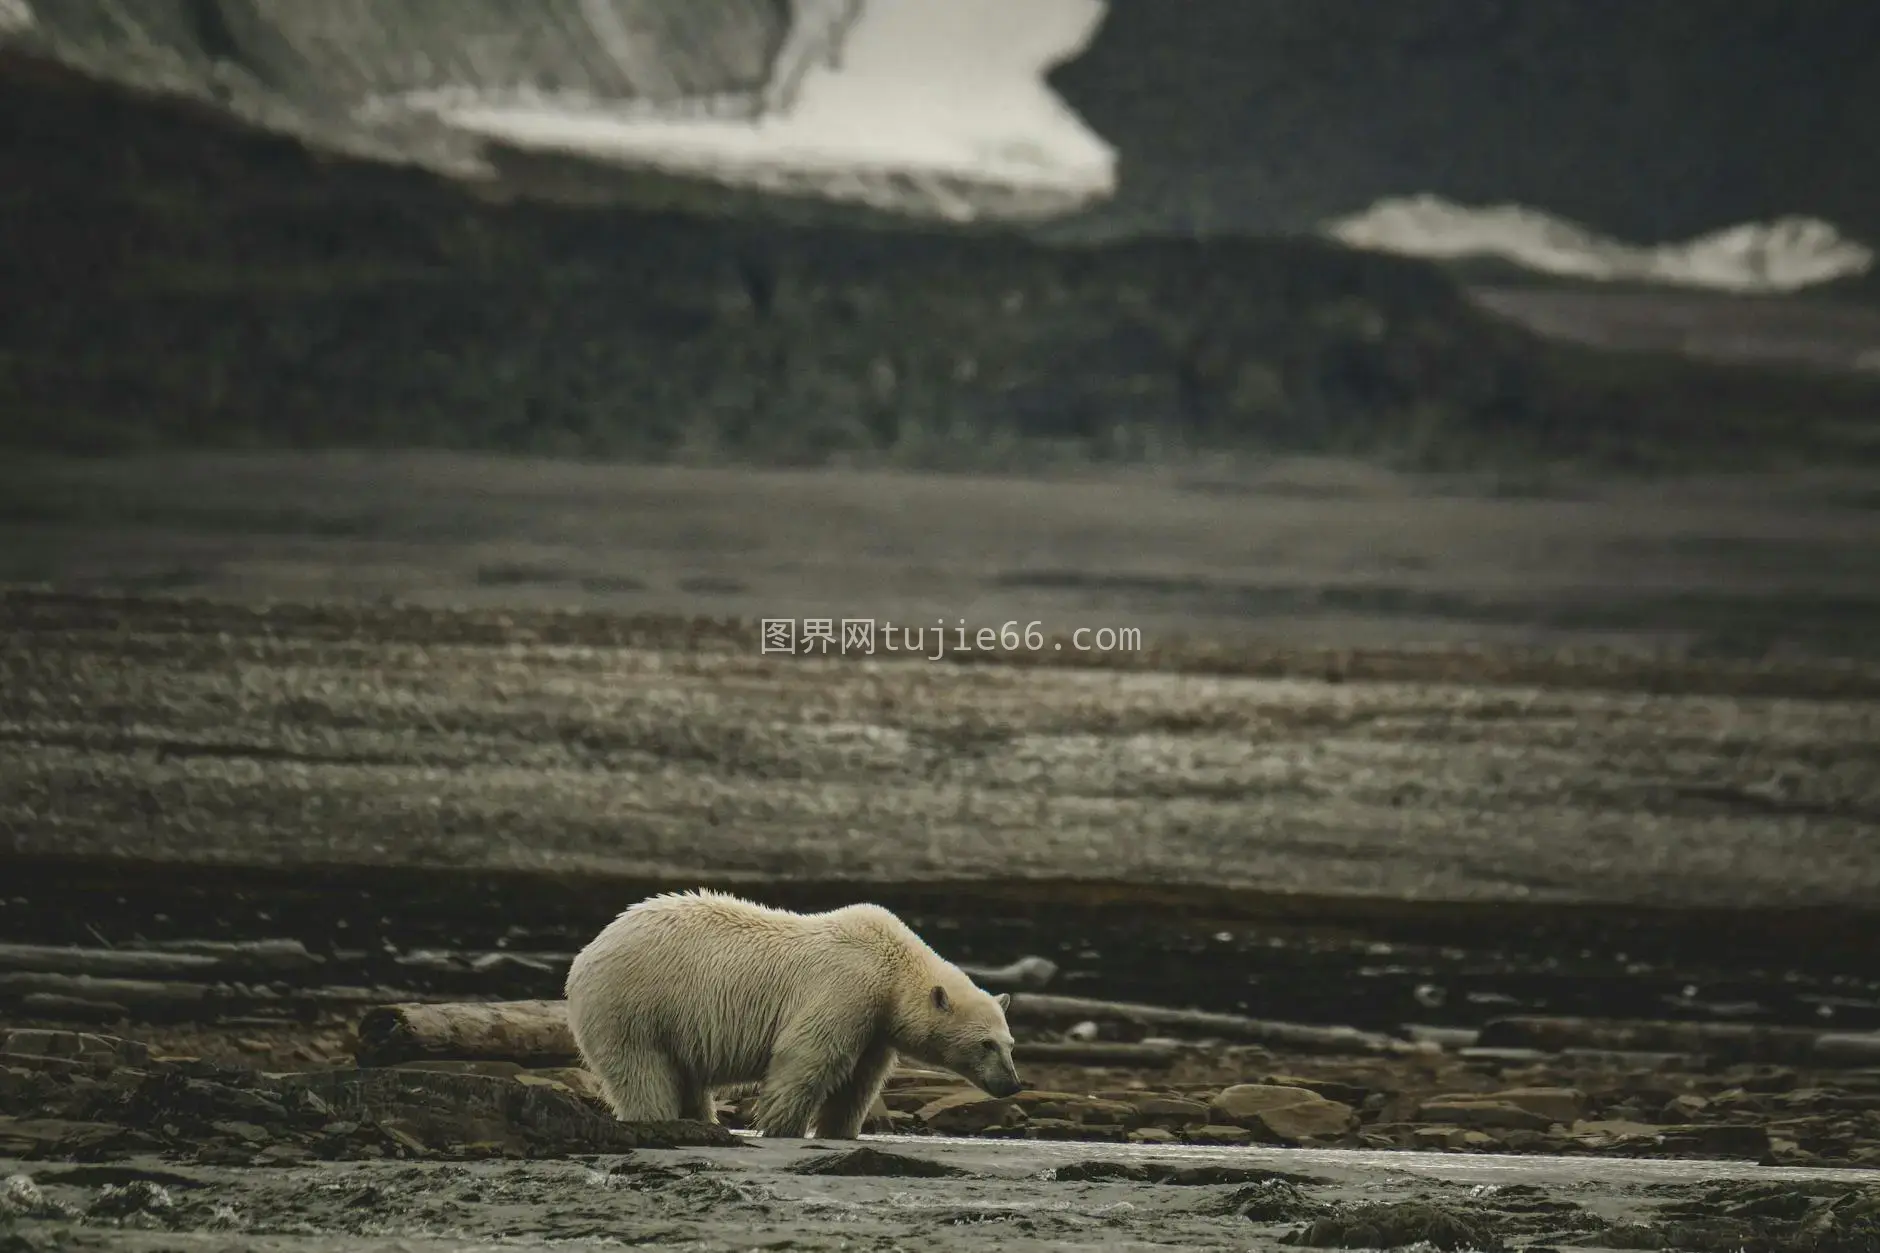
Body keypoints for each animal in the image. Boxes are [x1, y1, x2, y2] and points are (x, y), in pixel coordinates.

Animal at [564, 884, 1022, 1136]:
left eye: (1010, 1043)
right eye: (986, 1044)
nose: (1014, 1084)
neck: (892, 968)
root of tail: (589, 951)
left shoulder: (875, 1027)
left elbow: (858, 1082)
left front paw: (839, 1131)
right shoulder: (846, 989)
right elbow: (806, 1057)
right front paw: (782, 1127)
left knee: (686, 1078)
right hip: (633, 1004)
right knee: (642, 1072)